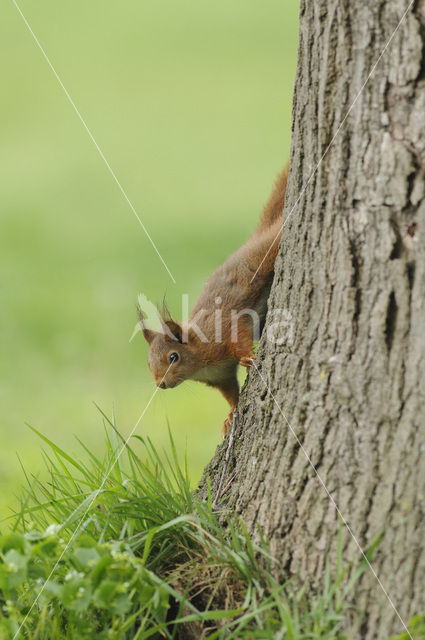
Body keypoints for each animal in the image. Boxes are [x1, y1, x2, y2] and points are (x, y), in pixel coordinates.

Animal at [137, 165, 286, 436]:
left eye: (173, 357)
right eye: (148, 362)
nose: (160, 384)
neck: (199, 360)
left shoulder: (224, 329)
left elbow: (240, 338)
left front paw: (248, 357)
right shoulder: (220, 377)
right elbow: (231, 393)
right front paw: (230, 415)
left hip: (266, 252)